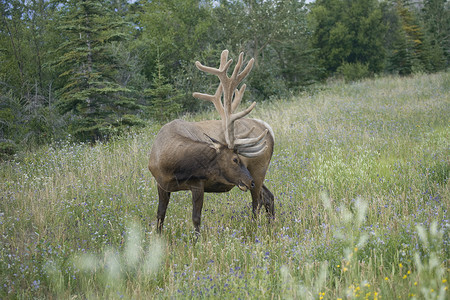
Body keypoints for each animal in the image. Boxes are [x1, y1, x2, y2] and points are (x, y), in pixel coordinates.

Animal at [149, 49, 274, 234]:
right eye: (235, 159)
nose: (248, 181)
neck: (171, 165)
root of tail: (267, 128)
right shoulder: (161, 184)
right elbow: (160, 216)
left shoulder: (197, 184)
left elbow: (196, 219)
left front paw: (196, 239)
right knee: (268, 197)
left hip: (259, 171)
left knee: (256, 202)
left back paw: (254, 229)